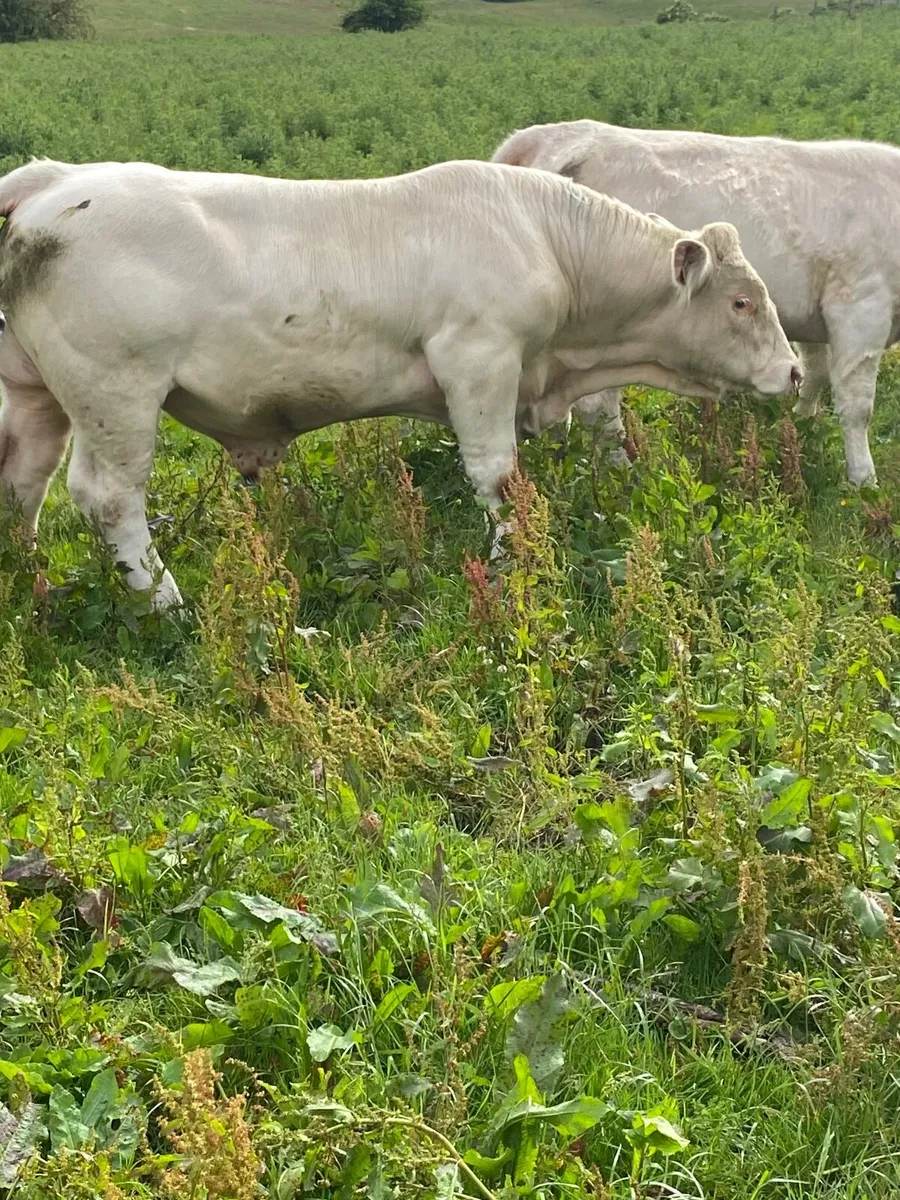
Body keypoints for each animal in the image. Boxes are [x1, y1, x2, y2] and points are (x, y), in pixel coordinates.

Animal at [0, 157, 799, 609]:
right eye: (742, 302)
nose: (792, 372)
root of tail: (55, 179)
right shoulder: (478, 357)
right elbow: (497, 475)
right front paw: (511, 565)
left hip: (35, 397)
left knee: (22, 486)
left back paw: (29, 582)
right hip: (117, 392)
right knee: (107, 499)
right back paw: (165, 605)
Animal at [493, 119, 900, 486]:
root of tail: (550, 135)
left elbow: (812, 373)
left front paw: (802, 426)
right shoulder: (860, 308)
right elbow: (856, 405)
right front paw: (864, 481)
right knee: (598, 408)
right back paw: (622, 472)